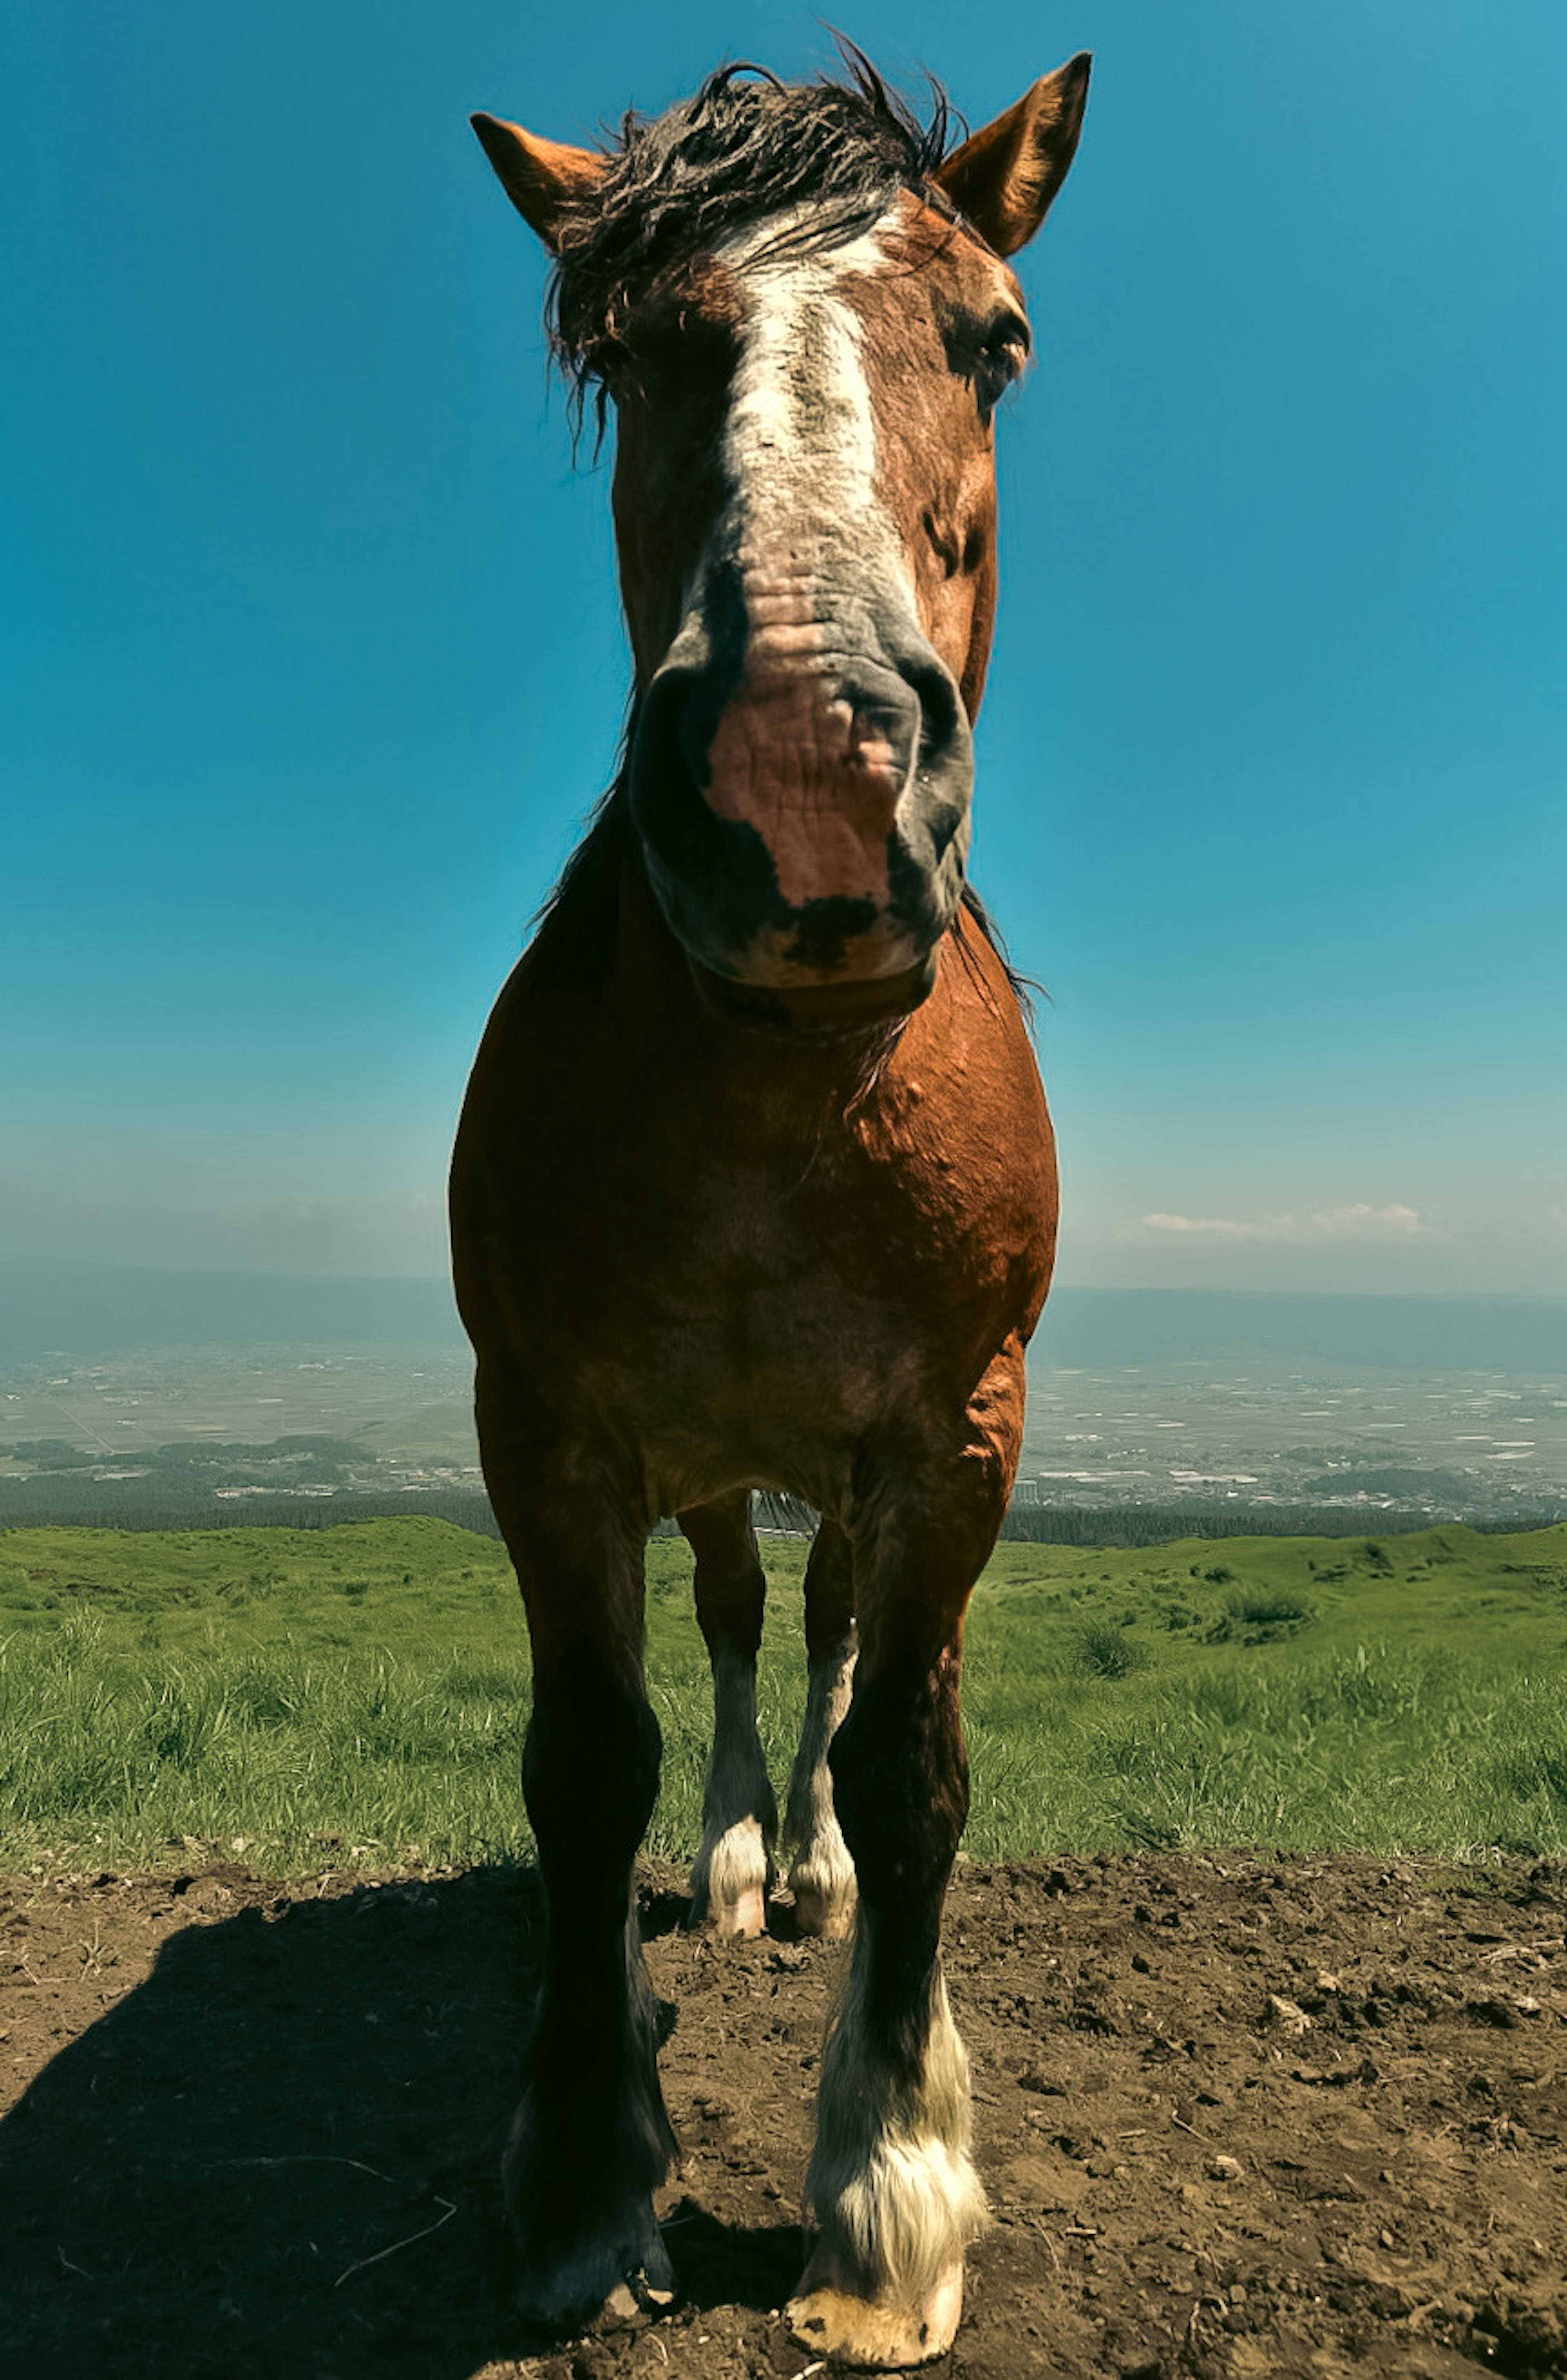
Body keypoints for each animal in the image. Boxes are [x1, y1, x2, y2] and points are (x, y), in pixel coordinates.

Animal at [449, 46, 1089, 2370]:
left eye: (997, 338)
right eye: (636, 353)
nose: (805, 771)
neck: (785, 1086)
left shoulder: (958, 1429)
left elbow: (909, 1765)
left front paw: (886, 2184)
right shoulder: (547, 1423)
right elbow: (584, 1757)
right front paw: (579, 2166)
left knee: (817, 1644)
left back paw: (801, 1872)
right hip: (717, 1461)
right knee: (735, 1626)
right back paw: (737, 1864)